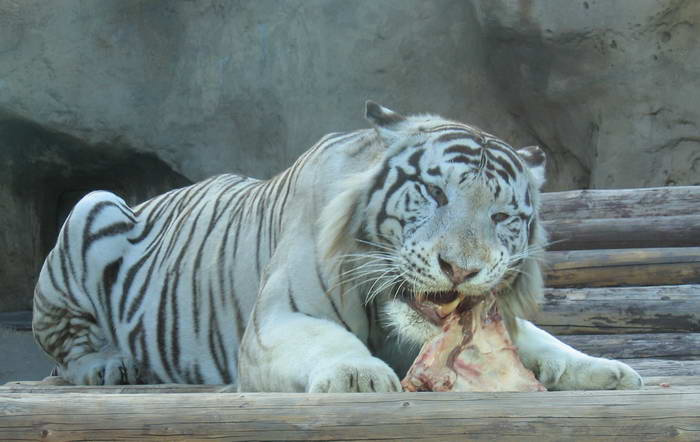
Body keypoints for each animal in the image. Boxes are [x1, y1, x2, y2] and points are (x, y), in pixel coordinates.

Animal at [32, 102, 642, 391]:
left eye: (501, 218)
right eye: (436, 193)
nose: (459, 269)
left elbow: (542, 342)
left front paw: (607, 369)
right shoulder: (278, 320)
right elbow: (327, 341)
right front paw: (357, 374)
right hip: (92, 207)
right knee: (64, 345)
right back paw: (107, 366)